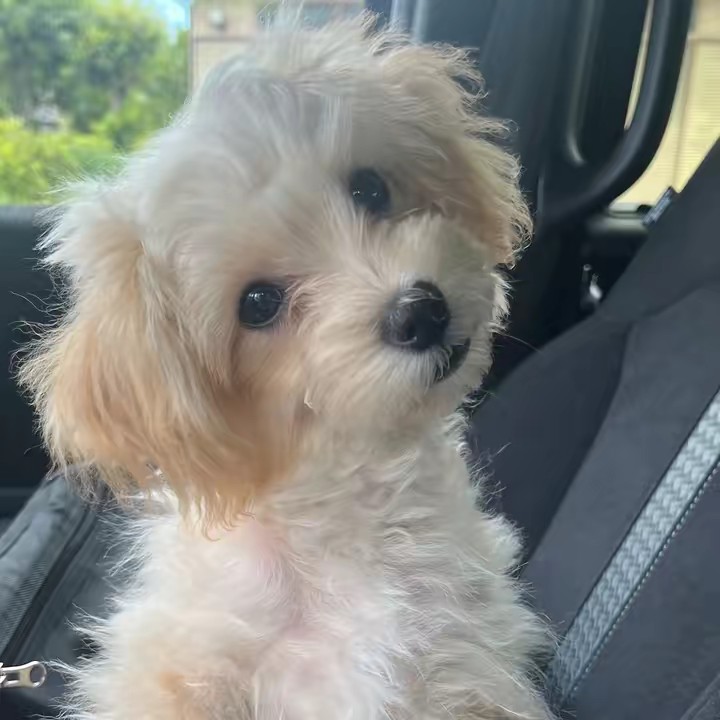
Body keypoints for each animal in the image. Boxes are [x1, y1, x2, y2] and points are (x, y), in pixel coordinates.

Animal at [20, 14, 552, 720]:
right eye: (257, 304)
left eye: (370, 188)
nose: (421, 312)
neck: (351, 505)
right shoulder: (186, 658)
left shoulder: (468, 657)